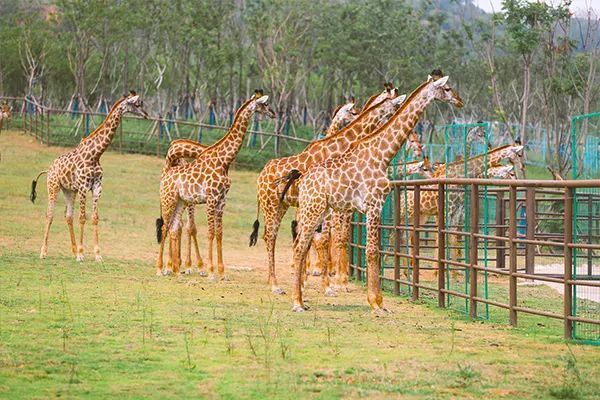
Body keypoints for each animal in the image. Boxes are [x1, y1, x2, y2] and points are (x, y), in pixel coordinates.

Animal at [29, 94, 149, 262]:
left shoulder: (97, 187)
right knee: (50, 215)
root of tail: (49, 169)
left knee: (68, 216)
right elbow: (82, 218)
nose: (146, 114)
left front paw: (97, 255)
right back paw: (44, 252)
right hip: (53, 187)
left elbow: (94, 217)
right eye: (136, 104)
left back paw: (73, 251)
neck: (95, 155)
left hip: (69, 191)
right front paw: (81, 255)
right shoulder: (83, 187)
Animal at [156, 90, 276, 278]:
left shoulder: (221, 200)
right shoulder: (211, 198)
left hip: (180, 201)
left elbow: (219, 233)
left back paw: (175, 270)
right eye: (265, 104)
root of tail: (165, 176)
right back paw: (160, 269)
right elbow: (210, 232)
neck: (224, 160)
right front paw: (211, 271)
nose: (273, 113)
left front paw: (221, 272)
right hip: (169, 200)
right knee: (164, 228)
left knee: (174, 227)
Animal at [248, 87, 408, 294]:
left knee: (277, 236)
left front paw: (319, 282)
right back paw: (276, 284)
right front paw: (331, 284)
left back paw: (274, 280)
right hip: (272, 205)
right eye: (353, 112)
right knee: (271, 237)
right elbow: (327, 239)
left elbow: (331, 238)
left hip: (283, 205)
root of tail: (260, 176)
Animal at [288, 76, 466, 312]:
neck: (382, 155)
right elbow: (372, 251)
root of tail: (303, 180)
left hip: (318, 211)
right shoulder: (374, 204)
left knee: (305, 243)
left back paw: (301, 296)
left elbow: (372, 249)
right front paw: (376, 302)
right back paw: (297, 302)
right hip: (312, 209)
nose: (460, 101)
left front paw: (376, 300)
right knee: (300, 247)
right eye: (447, 88)